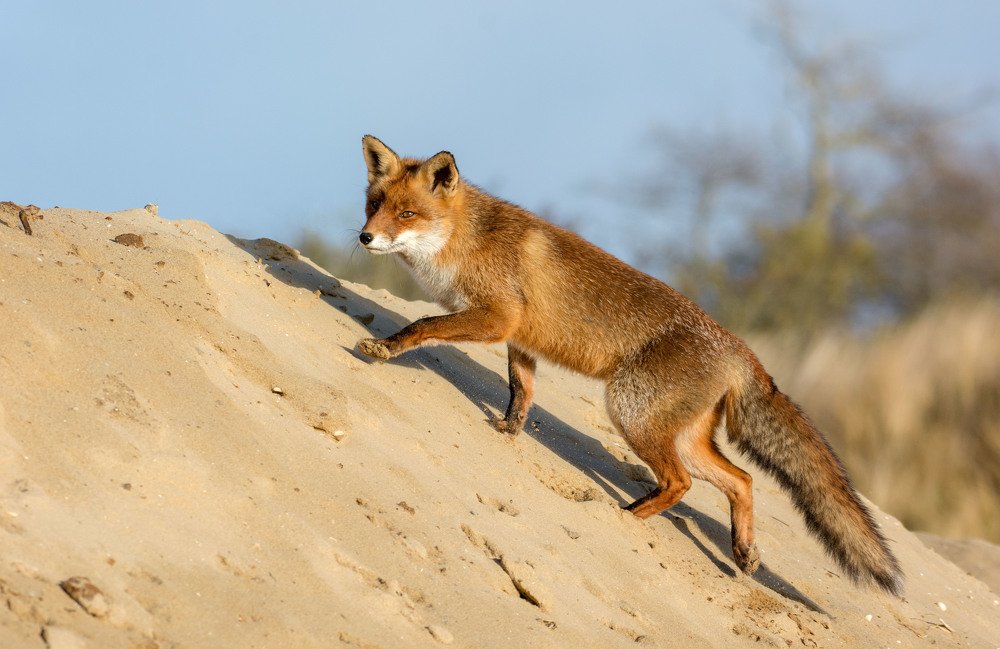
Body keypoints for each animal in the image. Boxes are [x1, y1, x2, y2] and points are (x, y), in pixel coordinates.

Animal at [353, 135, 903, 595]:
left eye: (407, 213)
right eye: (374, 206)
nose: (364, 238)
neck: (464, 240)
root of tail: (741, 349)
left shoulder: (497, 316)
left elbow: (424, 324)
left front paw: (385, 348)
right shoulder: (520, 339)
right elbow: (520, 391)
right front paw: (508, 430)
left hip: (631, 411)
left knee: (681, 483)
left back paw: (626, 515)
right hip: (682, 435)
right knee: (741, 480)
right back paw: (743, 551)